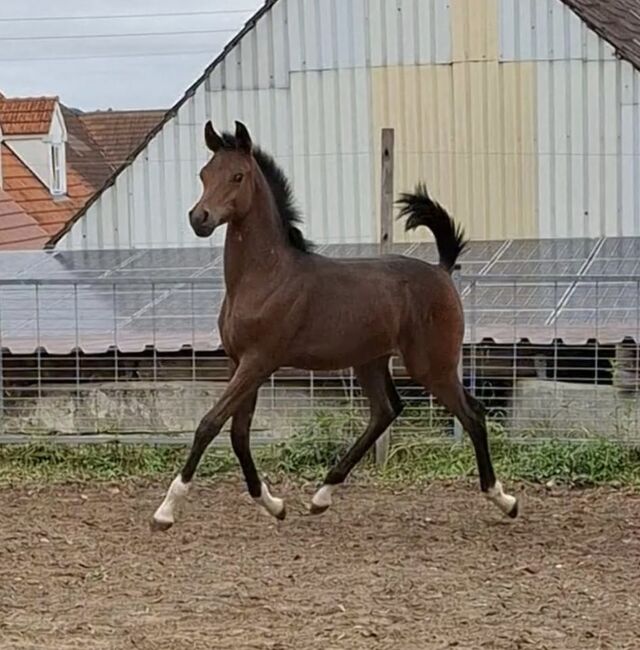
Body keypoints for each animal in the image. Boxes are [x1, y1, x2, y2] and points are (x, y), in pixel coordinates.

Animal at [151, 120, 520, 528]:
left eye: (238, 176)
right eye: (204, 174)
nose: (199, 218)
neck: (265, 277)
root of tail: (442, 271)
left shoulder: (258, 362)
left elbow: (210, 424)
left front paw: (165, 510)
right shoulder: (240, 362)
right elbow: (239, 434)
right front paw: (274, 504)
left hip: (431, 366)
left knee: (473, 414)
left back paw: (504, 499)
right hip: (370, 361)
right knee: (386, 411)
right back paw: (321, 496)